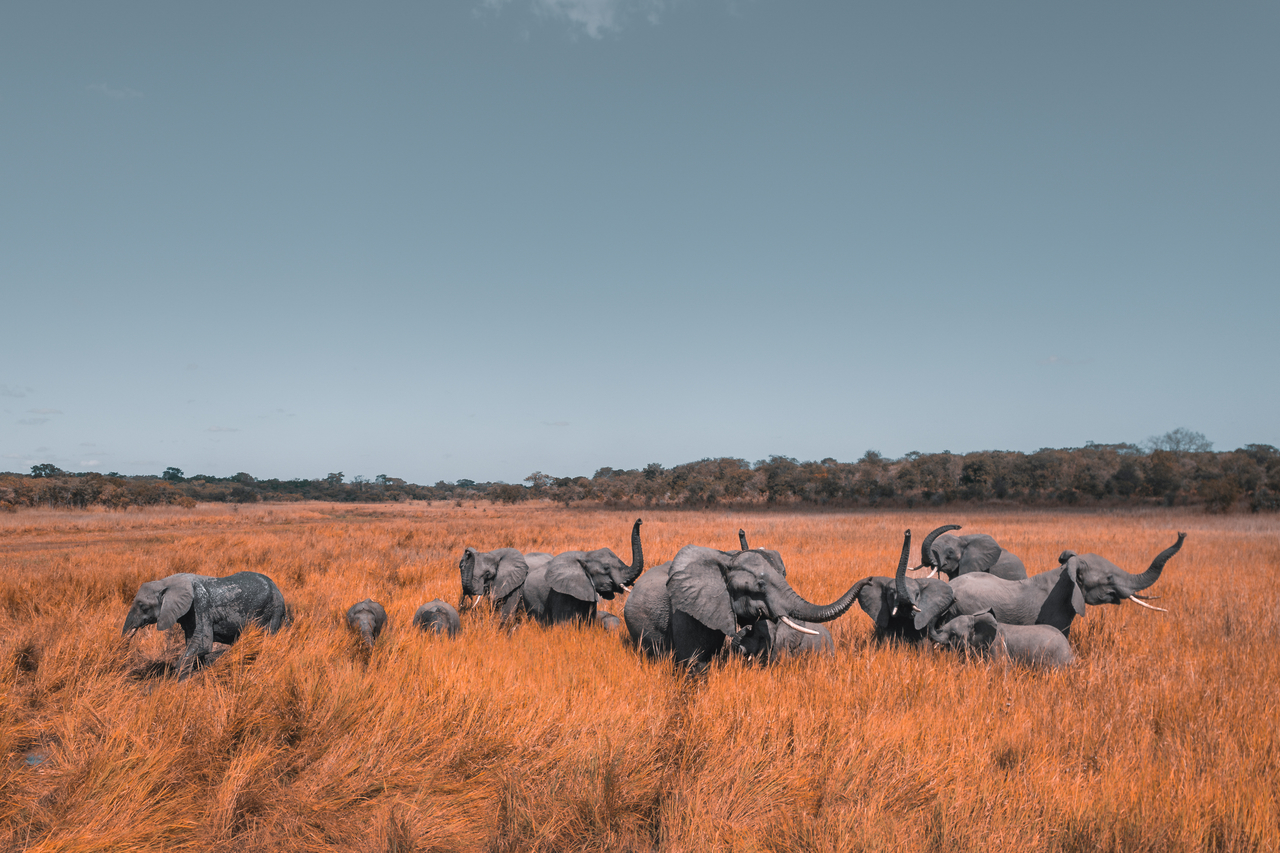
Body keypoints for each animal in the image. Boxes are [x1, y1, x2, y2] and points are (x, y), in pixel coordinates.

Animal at [122, 571, 289, 680]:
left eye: (143, 607)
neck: (166, 582)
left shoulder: (201, 605)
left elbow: (203, 644)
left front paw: (179, 679)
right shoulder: (189, 614)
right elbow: (193, 643)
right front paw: (197, 672)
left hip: (274, 609)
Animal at [623, 543, 864, 667]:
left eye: (784, 574)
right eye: (759, 585)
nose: (868, 580)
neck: (726, 559)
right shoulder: (684, 611)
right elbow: (693, 660)